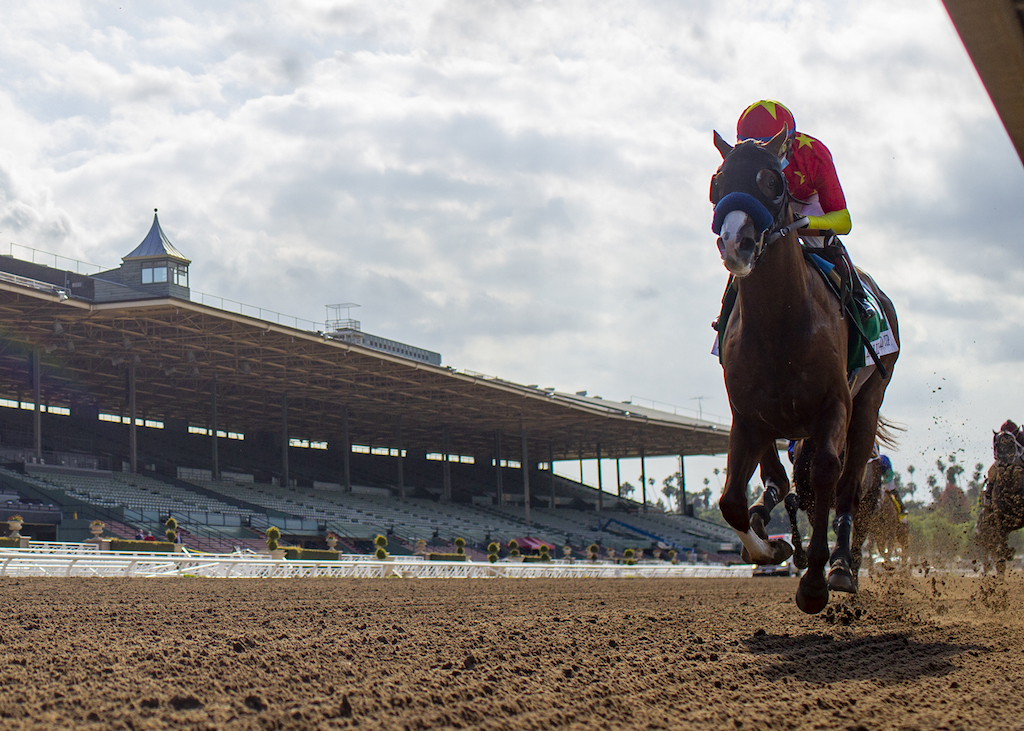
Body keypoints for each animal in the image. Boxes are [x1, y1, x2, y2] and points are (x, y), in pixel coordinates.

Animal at [708, 127, 901, 610]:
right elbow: (732, 502)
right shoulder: (748, 416)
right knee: (784, 480)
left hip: (869, 402)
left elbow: (828, 476)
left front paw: (814, 580)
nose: (736, 243)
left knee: (846, 488)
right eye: (717, 183)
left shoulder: (834, 406)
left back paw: (842, 567)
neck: (780, 324)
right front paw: (770, 548)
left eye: (773, 181)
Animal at [970, 421, 1024, 573]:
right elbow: (1000, 556)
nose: (1004, 464)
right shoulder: (1000, 523)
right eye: (996, 445)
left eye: (1013, 444)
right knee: (989, 559)